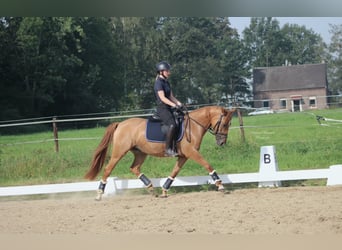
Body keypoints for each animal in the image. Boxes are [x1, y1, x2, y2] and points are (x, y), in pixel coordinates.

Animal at [85, 106, 235, 201]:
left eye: (229, 124)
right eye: (225, 124)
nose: (222, 143)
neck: (193, 126)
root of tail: (120, 124)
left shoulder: (183, 156)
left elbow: (174, 172)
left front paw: (164, 191)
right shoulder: (192, 153)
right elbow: (207, 165)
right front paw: (220, 185)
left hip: (141, 153)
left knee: (134, 168)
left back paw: (151, 188)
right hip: (119, 152)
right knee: (108, 169)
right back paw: (99, 195)